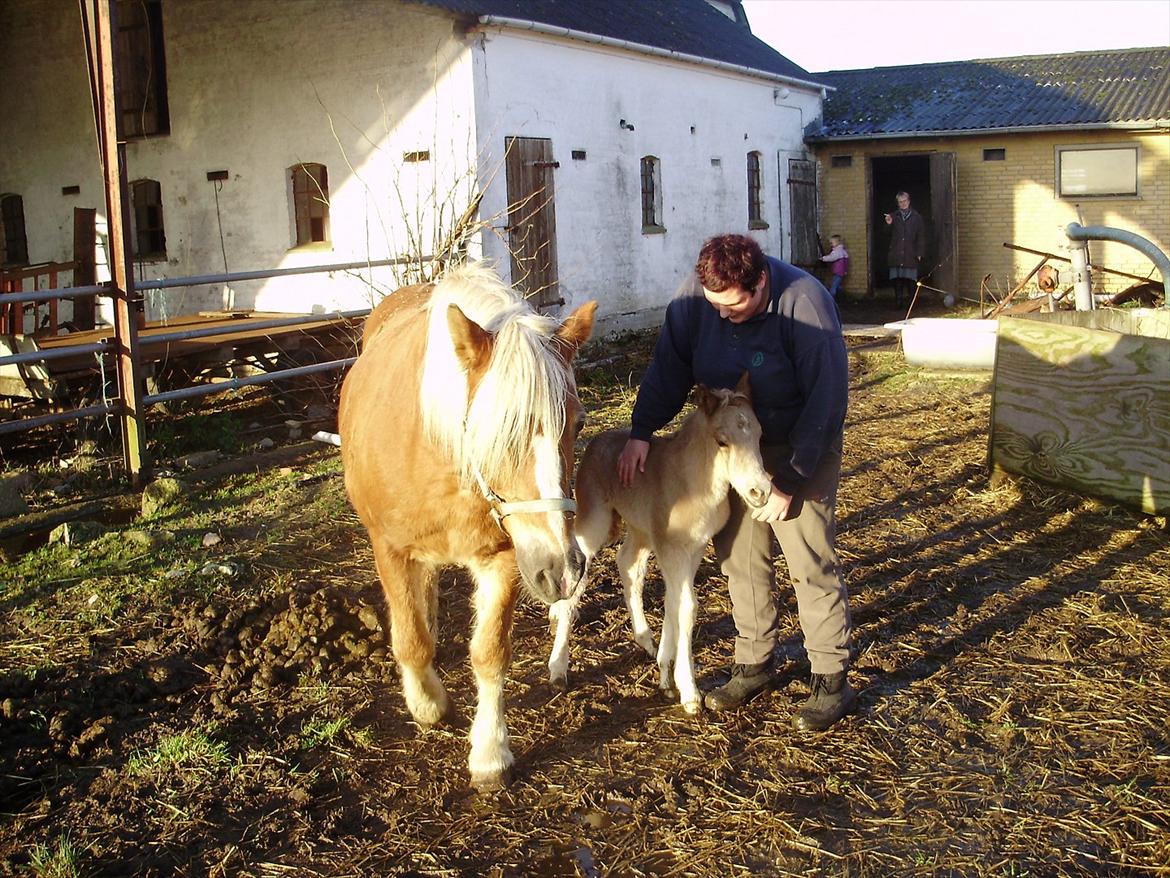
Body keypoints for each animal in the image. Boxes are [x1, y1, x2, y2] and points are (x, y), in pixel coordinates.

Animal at [336, 264, 594, 796]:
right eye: (494, 430)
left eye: (577, 424)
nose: (561, 570)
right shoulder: (390, 550)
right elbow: (410, 640)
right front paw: (428, 703)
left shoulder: (507, 557)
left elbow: (490, 652)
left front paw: (490, 754)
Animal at [549, 376, 776, 716]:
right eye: (722, 441)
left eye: (760, 435)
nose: (759, 492)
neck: (694, 482)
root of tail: (594, 443)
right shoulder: (672, 549)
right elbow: (687, 606)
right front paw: (689, 691)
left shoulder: (692, 549)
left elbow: (675, 602)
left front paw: (666, 673)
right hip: (594, 523)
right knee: (576, 578)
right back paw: (558, 668)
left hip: (641, 530)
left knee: (627, 563)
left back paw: (645, 639)